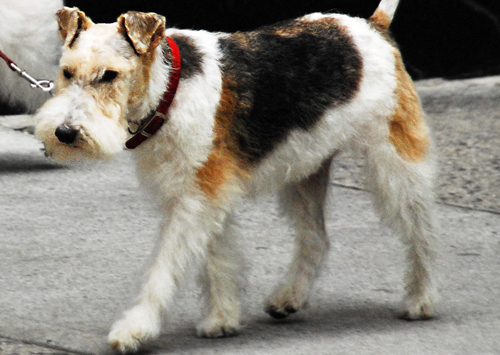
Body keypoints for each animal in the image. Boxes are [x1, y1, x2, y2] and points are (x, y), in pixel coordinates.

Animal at [34, 0, 438, 354]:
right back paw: (288, 298)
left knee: (421, 234)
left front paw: (134, 329)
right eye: (67, 72)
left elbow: (163, 269)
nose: (65, 133)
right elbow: (218, 258)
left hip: (395, 164)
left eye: (110, 75)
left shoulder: (198, 196)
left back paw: (421, 301)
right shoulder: (204, 192)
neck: (168, 91)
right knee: (316, 239)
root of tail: (372, 25)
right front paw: (223, 319)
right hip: (305, 168)